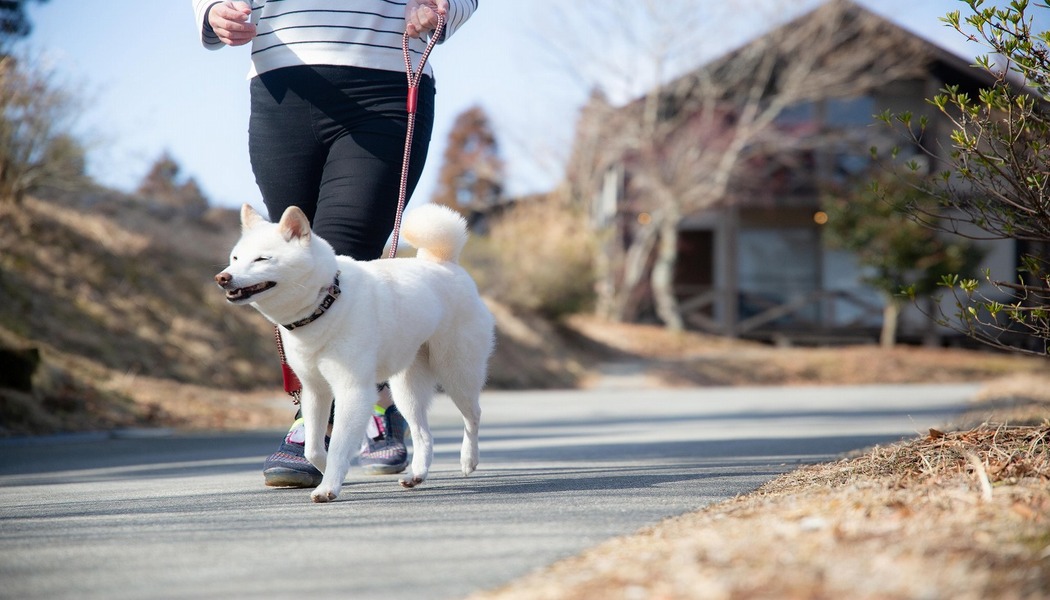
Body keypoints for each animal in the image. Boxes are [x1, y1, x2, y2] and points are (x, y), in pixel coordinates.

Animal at [213, 203, 495, 504]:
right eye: (235, 257)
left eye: (261, 259)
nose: (223, 278)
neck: (326, 303)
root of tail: (444, 262)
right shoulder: (315, 390)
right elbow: (313, 448)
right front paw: (329, 471)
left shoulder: (352, 391)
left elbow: (338, 444)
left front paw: (328, 486)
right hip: (407, 389)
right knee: (423, 434)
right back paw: (417, 475)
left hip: (457, 373)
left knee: (473, 415)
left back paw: (468, 460)